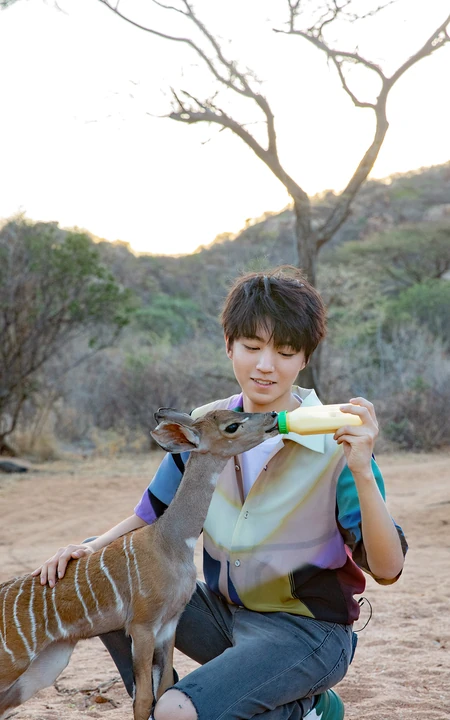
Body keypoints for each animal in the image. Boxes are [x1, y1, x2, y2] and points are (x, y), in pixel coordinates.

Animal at [0, 407, 279, 720]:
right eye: (232, 426)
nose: (272, 416)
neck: (170, 542)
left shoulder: (169, 625)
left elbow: (165, 686)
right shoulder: (142, 627)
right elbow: (144, 697)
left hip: (46, 666)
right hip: (13, 663)